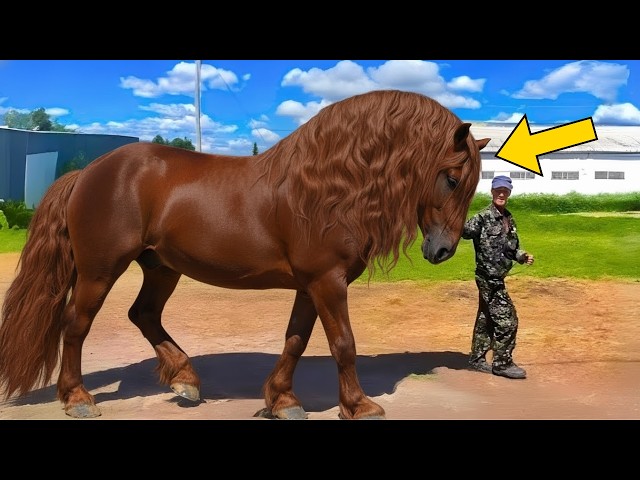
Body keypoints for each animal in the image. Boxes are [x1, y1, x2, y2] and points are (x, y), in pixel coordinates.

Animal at [0, 89, 489, 420]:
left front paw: (282, 401)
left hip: (161, 267)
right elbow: (343, 344)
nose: (443, 250)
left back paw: (185, 381)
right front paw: (359, 404)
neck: (329, 189)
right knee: (75, 324)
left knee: (144, 315)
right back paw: (77, 398)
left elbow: (296, 340)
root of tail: (87, 172)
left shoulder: (311, 286)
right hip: (99, 271)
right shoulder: (327, 281)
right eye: (451, 178)